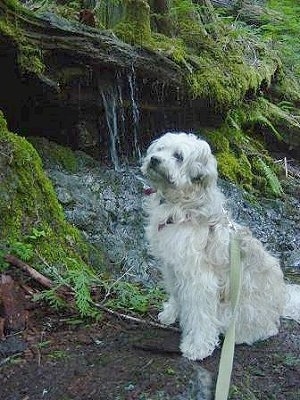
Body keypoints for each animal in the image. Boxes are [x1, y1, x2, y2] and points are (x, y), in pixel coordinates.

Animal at [141, 133, 300, 360]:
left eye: (178, 156)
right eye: (160, 149)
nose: (154, 159)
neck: (183, 204)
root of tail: (281, 304)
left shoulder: (200, 280)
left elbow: (200, 314)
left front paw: (197, 346)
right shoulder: (173, 268)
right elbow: (177, 295)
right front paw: (171, 313)